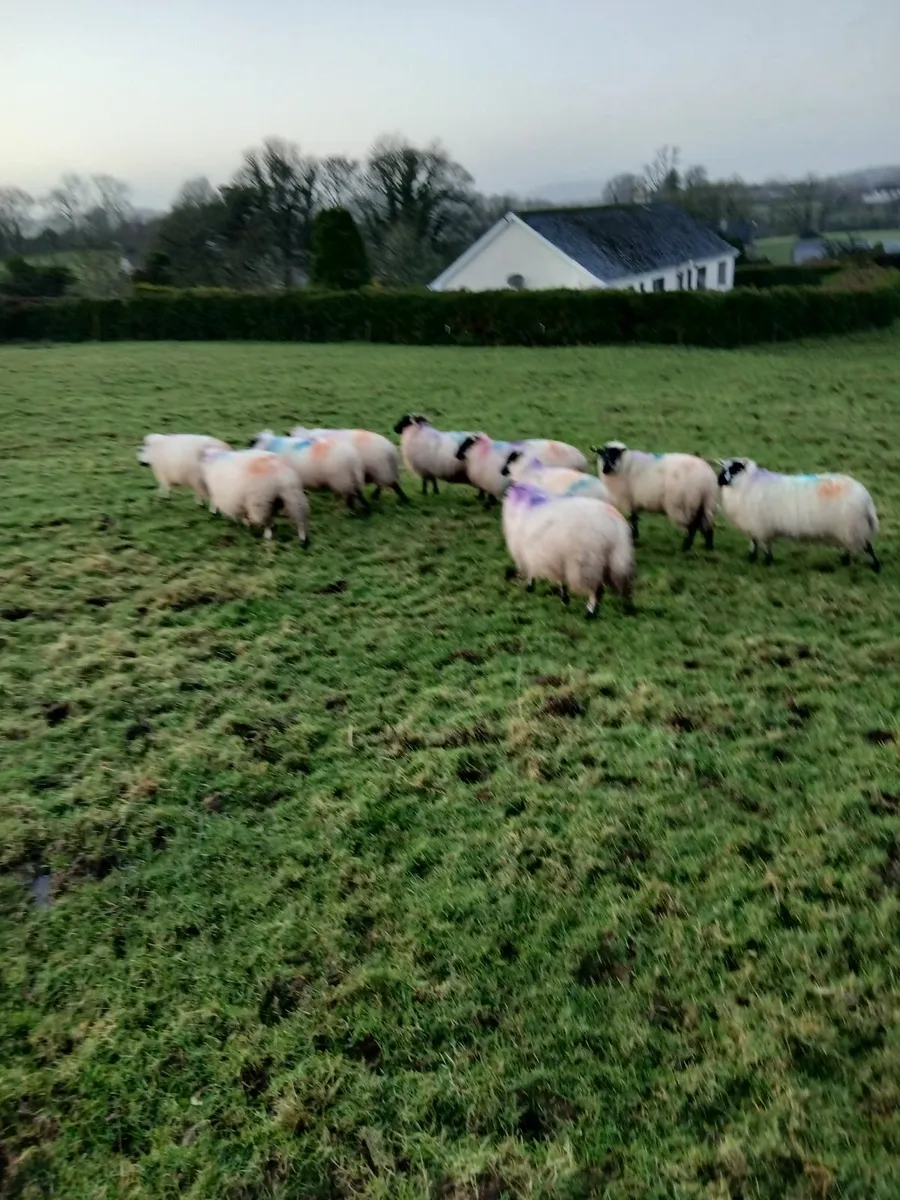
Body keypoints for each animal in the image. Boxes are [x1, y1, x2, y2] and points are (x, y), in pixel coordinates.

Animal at [501, 481, 635, 619]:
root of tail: (613, 524)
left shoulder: (527, 553)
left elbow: (531, 572)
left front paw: (530, 586)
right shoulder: (558, 558)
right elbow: (561, 580)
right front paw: (564, 597)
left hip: (588, 563)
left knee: (597, 590)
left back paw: (590, 613)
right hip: (618, 559)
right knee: (624, 585)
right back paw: (627, 608)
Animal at [717, 457, 880, 570]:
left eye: (734, 469)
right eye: (723, 468)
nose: (719, 480)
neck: (747, 484)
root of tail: (866, 498)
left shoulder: (762, 527)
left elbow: (766, 546)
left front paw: (768, 562)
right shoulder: (753, 527)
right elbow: (753, 543)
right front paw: (751, 558)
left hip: (853, 526)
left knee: (867, 547)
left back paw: (873, 566)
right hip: (850, 528)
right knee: (851, 546)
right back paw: (846, 562)